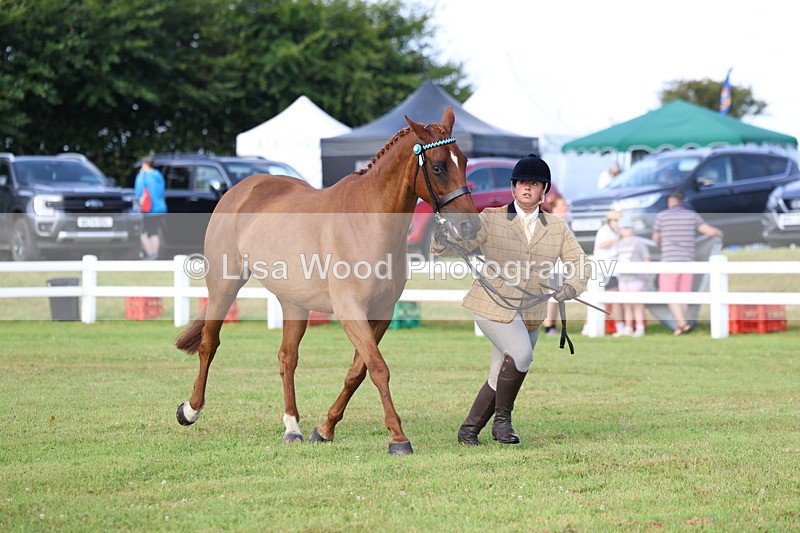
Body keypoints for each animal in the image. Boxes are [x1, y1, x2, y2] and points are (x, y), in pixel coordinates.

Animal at [174, 107, 480, 455]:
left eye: (464, 161)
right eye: (438, 166)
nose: (470, 226)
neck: (370, 222)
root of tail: (241, 188)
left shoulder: (381, 313)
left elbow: (357, 371)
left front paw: (325, 428)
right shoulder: (351, 311)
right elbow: (378, 368)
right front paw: (398, 437)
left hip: (293, 303)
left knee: (287, 358)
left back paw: (292, 427)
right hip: (223, 286)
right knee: (209, 344)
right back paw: (190, 410)